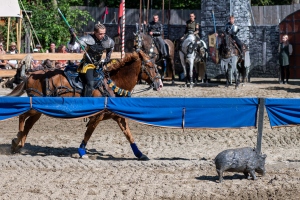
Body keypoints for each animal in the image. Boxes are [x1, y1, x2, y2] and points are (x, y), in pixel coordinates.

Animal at [6, 50, 162, 161]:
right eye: (150, 66)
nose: (160, 84)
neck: (112, 84)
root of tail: (29, 76)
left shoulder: (118, 117)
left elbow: (129, 135)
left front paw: (140, 154)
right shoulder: (97, 117)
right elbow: (88, 133)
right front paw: (82, 152)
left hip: (38, 111)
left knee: (28, 124)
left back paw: (19, 144)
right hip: (35, 107)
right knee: (22, 117)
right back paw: (17, 139)